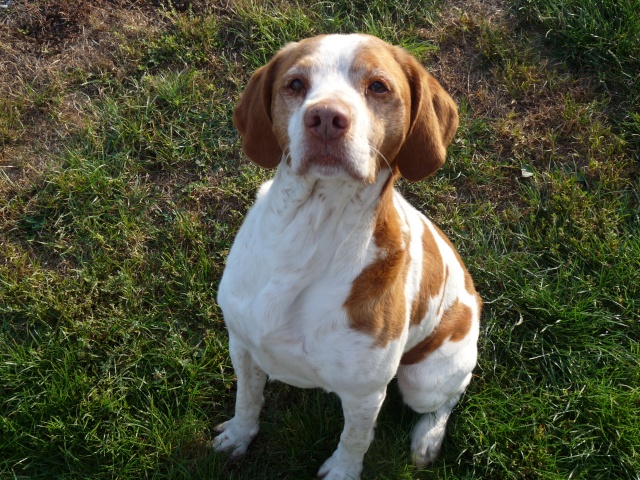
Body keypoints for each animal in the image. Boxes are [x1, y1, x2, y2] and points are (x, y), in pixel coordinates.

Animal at [215, 33, 480, 480]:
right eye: (295, 84)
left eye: (378, 87)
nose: (325, 117)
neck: (311, 229)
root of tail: (474, 295)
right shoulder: (243, 346)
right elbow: (247, 399)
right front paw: (239, 434)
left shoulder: (365, 393)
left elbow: (355, 440)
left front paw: (342, 471)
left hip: (424, 380)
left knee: (449, 398)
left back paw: (427, 438)